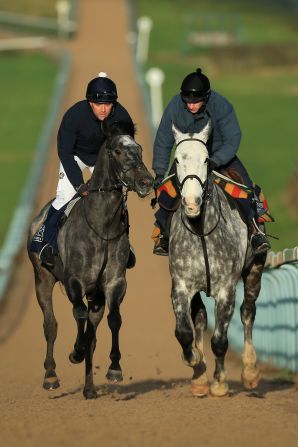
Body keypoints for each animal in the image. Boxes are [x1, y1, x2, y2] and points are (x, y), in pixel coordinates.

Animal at [27, 121, 154, 400]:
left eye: (139, 149)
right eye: (117, 150)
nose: (146, 181)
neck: (101, 226)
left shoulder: (114, 282)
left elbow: (112, 320)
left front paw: (114, 369)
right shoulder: (75, 282)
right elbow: (78, 316)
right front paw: (75, 351)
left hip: (95, 294)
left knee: (92, 331)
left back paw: (89, 388)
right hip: (42, 279)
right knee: (51, 324)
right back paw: (51, 375)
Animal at [169, 122, 266, 400]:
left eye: (206, 159)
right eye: (177, 160)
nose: (192, 202)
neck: (201, 230)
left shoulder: (226, 289)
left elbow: (220, 340)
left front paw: (220, 383)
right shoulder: (181, 286)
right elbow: (184, 332)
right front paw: (195, 363)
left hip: (255, 269)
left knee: (248, 312)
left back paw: (250, 372)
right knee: (200, 317)